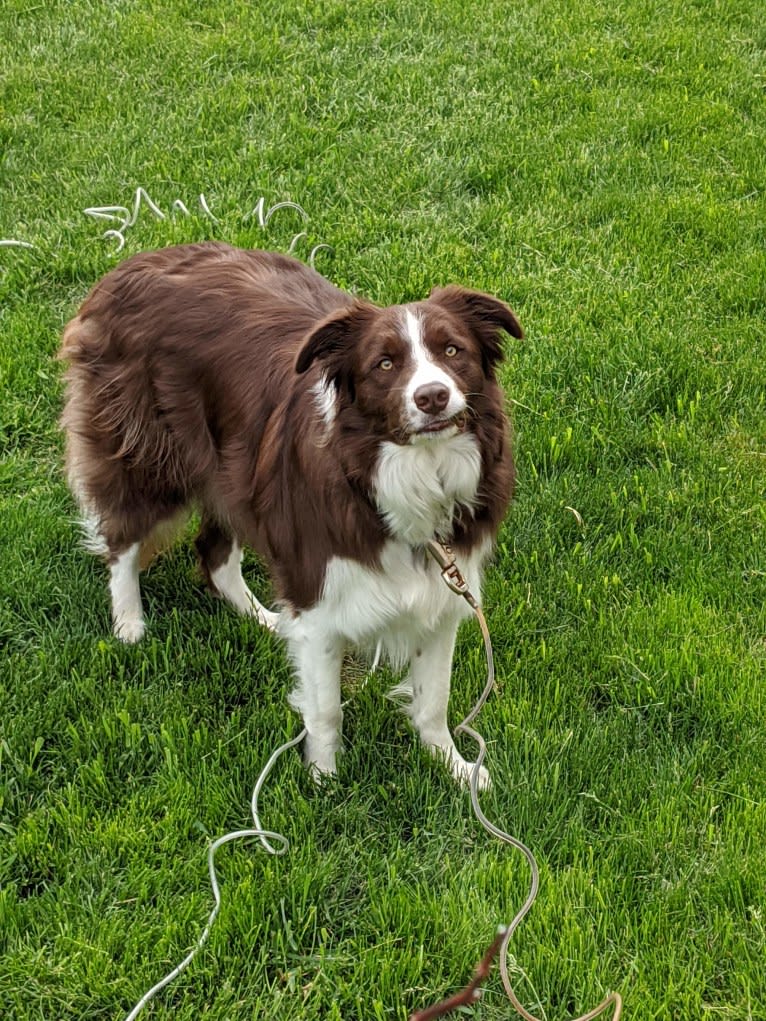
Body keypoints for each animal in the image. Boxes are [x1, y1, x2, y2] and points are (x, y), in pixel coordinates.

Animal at [58, 242, 522, 784]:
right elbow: (326, 708)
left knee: (213, 553)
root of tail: (129, 265)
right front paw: (324, 783)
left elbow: (434, 702)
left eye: (453, 351)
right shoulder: (318, 596)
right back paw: (129, 624)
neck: (403, 473)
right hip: (147, 458)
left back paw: (264, 618)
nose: (432, 397)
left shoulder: (444, 589)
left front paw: (455, 768)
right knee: (122, 540)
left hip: (233, 474)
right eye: (384, 364)